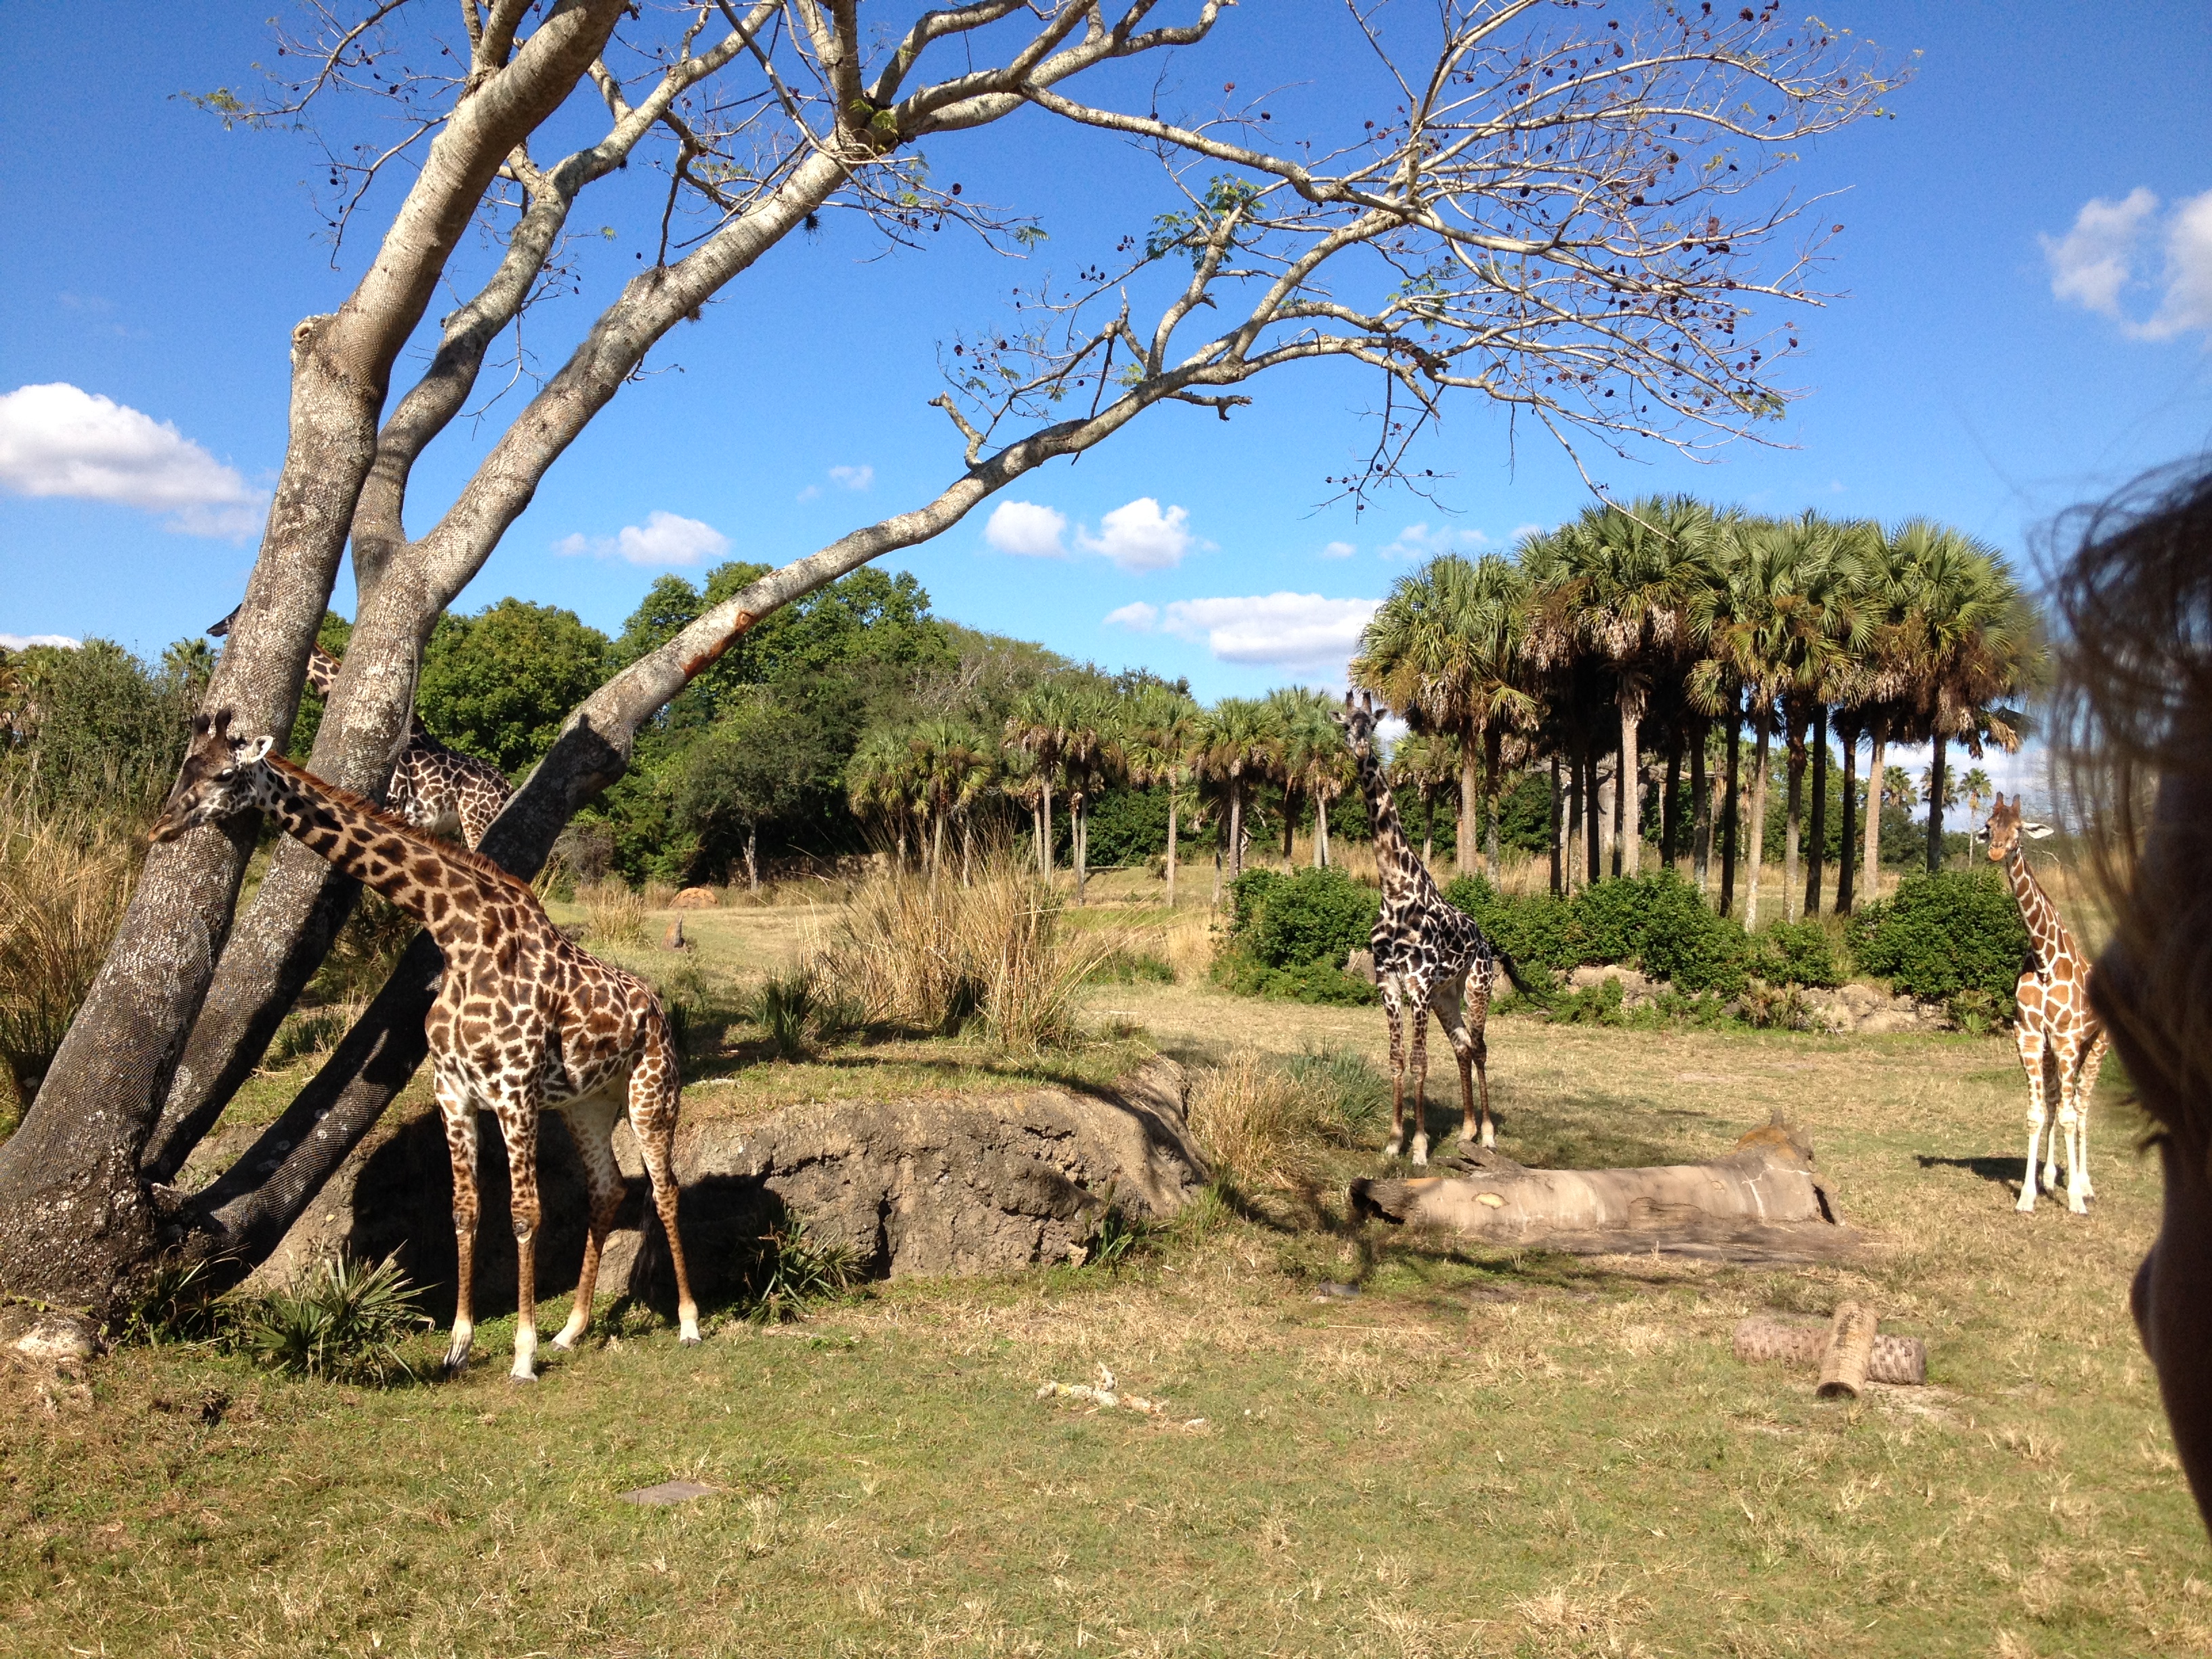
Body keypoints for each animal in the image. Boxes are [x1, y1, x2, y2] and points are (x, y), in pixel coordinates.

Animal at [151, 711, 700, 1379]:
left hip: (652, 1091)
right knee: (608, 1189)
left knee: (665, 1190)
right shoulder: (453, 1090)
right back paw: (573, 1329)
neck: (459, 934)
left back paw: (688, 1323)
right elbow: (465, 1210)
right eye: (186, 766)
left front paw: (522, 1354)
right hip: (586, 1104)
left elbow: (524, 1214)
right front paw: (459, 1346)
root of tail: (657, 1008)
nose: (162, 827)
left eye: (226, 775)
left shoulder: (514, 1091)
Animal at [1332, 693, 1526, 1165]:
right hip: (1446, 995)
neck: (1394, 891)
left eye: (1372, 725)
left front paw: (1419, 1148)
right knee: (1461, 1045)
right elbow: (1396, 1059)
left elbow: (1420, 1061)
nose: (1360, 750)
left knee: (1480, 1047)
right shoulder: (1388, 982)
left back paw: (1488, 1135)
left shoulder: (1417, 984)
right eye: (1345, 725)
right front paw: (1392, 1142)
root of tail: (1488, 942)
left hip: (1476, 986)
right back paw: (1467, 1131)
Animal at [1980, 792, 2108, 1215]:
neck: (2044, 959)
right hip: (2058, 1050)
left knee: (2081, 1107)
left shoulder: (2067, 1038)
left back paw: (2084, 1184)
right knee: (2056, 1103)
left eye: (2020, 829)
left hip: (2095, 1045)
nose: (1996, 849)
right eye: (1989, 824)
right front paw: (2027, 1195)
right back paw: (2051, 1178)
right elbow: (2038, 1114)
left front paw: (2076, 1201)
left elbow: (2068, 1116)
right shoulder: (2031, 1036)